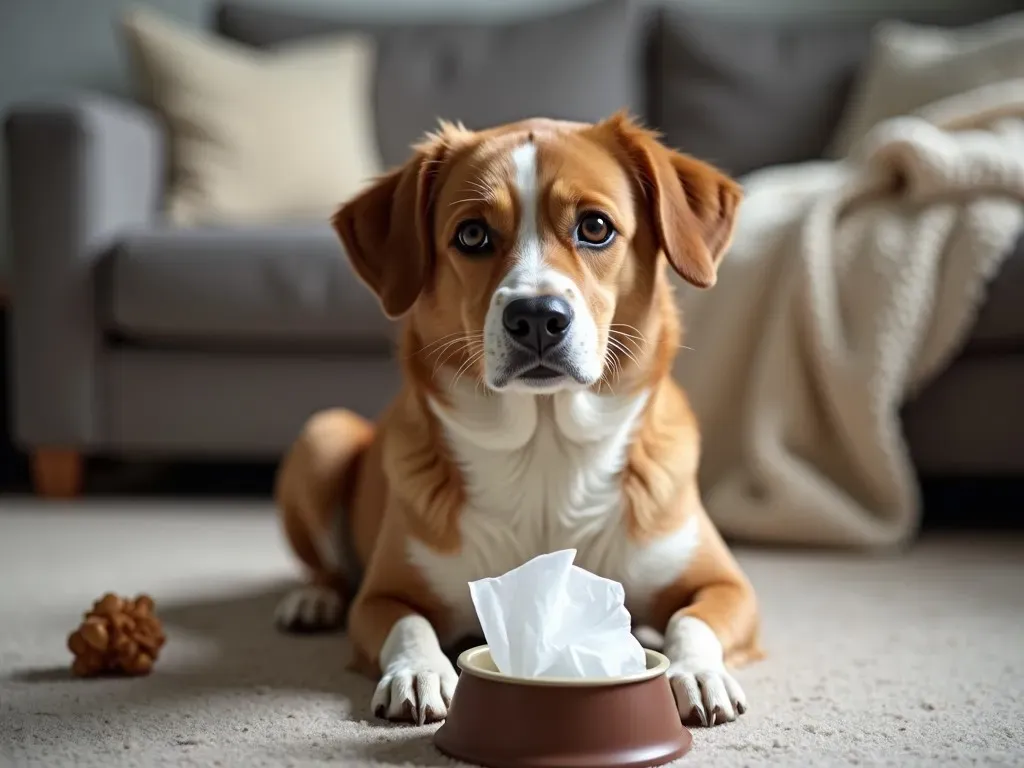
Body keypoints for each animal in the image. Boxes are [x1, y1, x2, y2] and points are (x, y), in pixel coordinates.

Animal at [272, 111, 761, 729]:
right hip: (324, 434)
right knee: (328, 570)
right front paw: (420, 670)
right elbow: (409, 624)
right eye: (472, 235)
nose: (536, 317)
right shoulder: (382, 596)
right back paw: (313, 599)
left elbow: (690, 620)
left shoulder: (726, 584)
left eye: (595, 227)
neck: (545, 450)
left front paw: (695, 670)